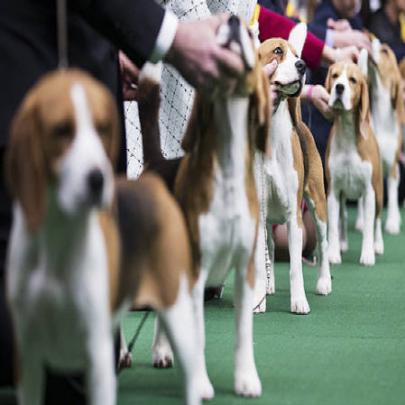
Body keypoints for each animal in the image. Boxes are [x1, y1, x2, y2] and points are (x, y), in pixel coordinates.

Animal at [252, 23, 332, 314]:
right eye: (278, 51)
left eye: (298, 55)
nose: (302, 65)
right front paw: (256, 300)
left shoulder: (294, 216)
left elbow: (296, 267)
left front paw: (299, 301)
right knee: (271, 247)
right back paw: (267, 286)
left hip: (318, 206)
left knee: (324, 245)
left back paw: (324, 283)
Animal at [326, 60, 382, 266]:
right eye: (335, 76)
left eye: (352, 80)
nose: (339, 87)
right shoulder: (333, 191)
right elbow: (334, 226)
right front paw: (333, 253)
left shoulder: (369, 191)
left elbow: (368, 226)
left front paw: (367, 254)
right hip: (343, 197)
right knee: (342, 217)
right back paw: (342, 243)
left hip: (379, 194)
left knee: (377, 220)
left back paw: (378, 245)